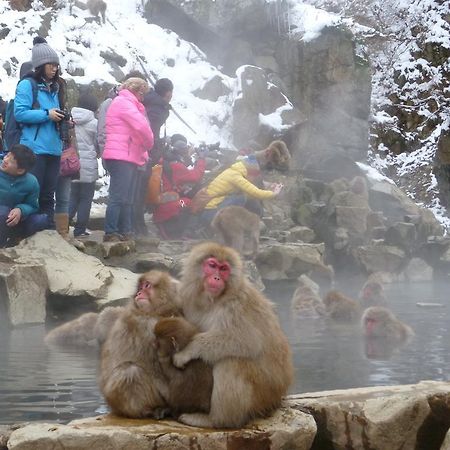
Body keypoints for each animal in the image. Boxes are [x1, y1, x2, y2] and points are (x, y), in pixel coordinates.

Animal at [99, 268, 180, 420]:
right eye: (140, 287)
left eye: (146, 285)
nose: (138, 293)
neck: (157, 313)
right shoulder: (147, 326)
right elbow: (154, 365)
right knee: (130, 371)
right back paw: (148, 410)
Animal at [171, 243, 292, 428]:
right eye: (212, 265)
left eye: (224, 269)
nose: (216, 278)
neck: (213, 300)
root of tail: (279, 394)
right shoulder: (186, 298)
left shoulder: (236, 305)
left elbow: (246, 341)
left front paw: (189, 350)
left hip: (263, 393)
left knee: (231, 362)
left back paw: (216, 420)